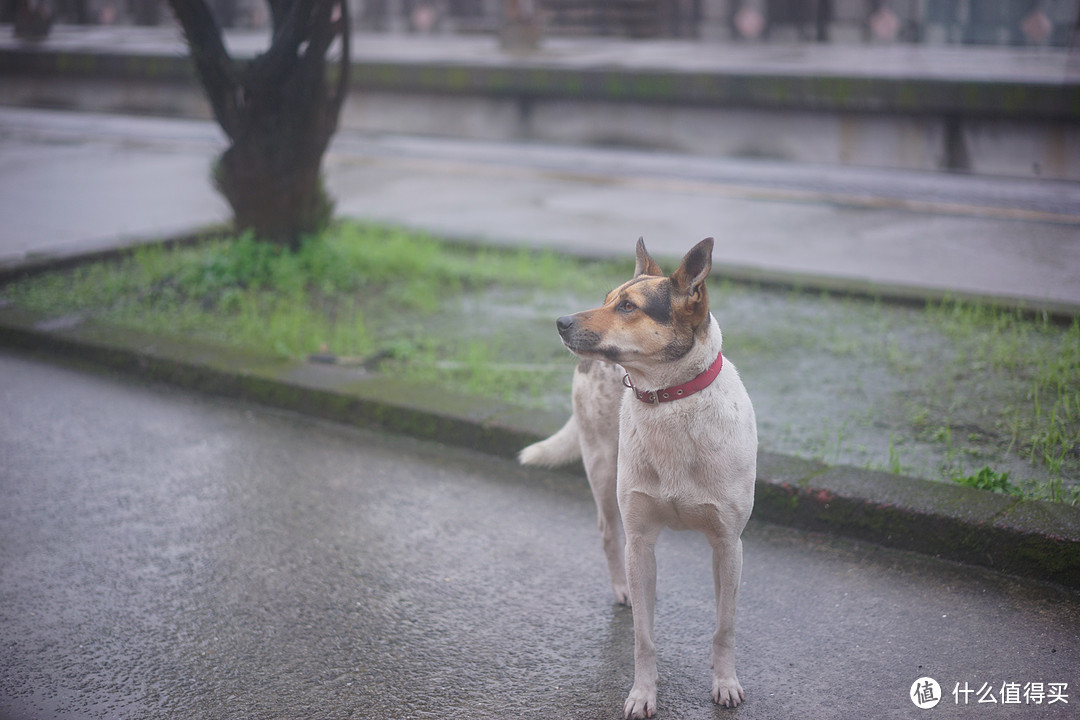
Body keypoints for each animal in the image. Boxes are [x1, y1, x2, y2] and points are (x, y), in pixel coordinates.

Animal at [518, 239, 756, 716]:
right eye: (608, 298)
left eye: (628, 306)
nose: (561, 322)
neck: (669, 399)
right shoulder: (641, 538)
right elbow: (644, 639)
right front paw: (643, 694)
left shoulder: (728, 545)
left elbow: (724, 628)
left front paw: (725, 683)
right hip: (601, 468)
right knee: (609, 534)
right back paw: (623, 588)